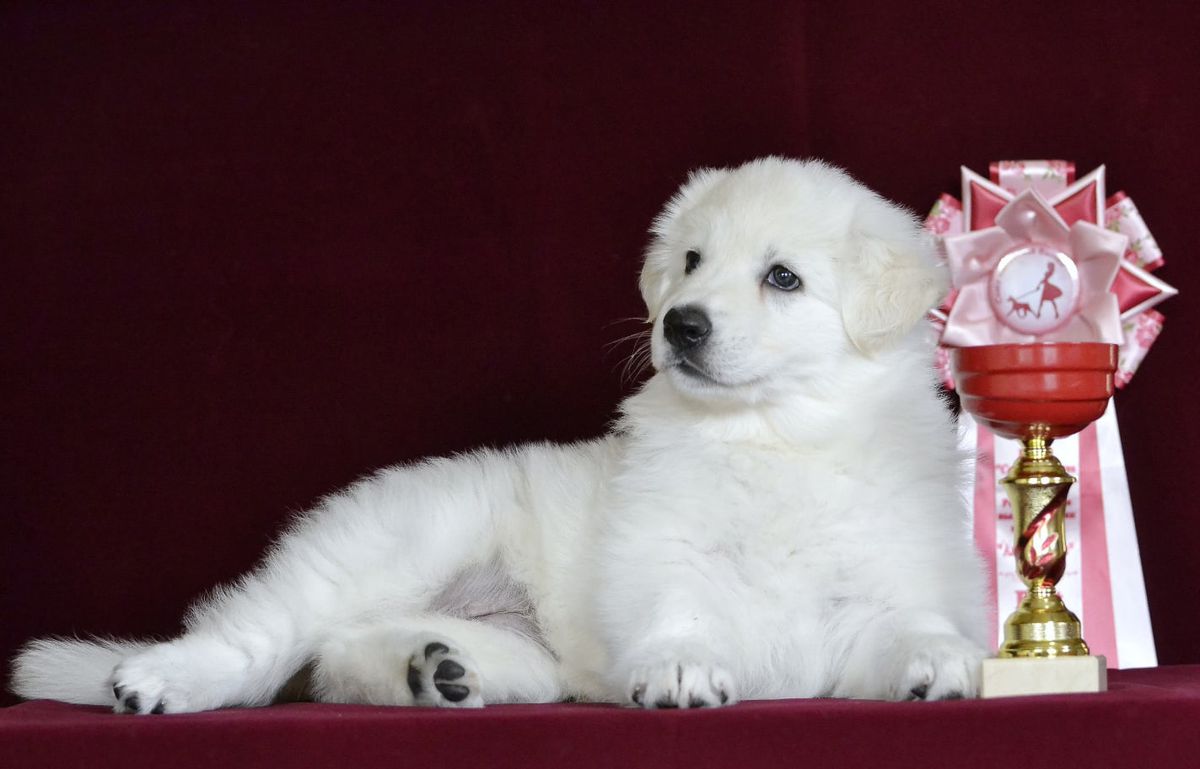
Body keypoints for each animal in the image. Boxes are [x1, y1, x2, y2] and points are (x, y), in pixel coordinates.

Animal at [9, 157, 984, 715]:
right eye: (692, 263)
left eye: (783, 278)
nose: (681, 324)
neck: (774, 434)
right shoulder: (661, 551)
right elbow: (678, 608)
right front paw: (681, 670)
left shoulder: (886, 578)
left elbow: (908, 624)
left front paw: (946, 662)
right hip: (386, 543)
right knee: (268, 633)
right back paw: (158, 680)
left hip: (519, 649)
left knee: (337, 661)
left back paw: (434, 671)